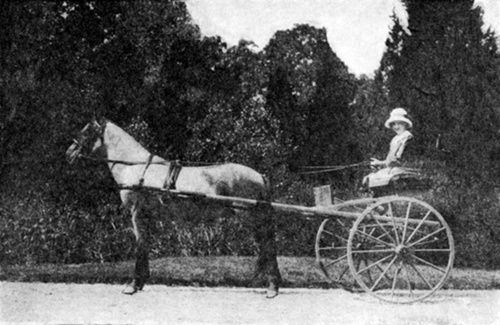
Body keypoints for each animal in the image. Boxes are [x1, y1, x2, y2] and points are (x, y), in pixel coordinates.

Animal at [67, 118, 282, 296]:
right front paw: (141, 282)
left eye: (86, 132)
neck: (137, 167)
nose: (68, 153)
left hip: (251, 216)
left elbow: (139, 246)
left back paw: (272, 287)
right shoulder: (146, 216)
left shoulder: (137, 213)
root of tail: (260, 175)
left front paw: (132, 285)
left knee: (267, 244)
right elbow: (145, 245)